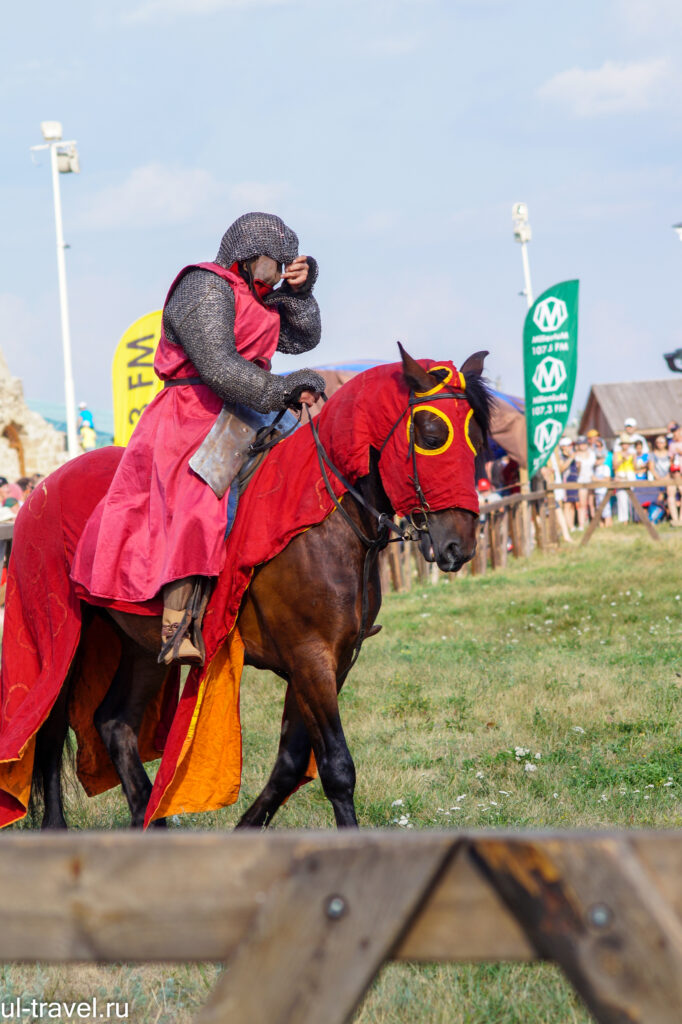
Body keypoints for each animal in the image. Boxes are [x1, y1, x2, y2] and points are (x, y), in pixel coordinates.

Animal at [31, 348, 489, 827]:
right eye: (432, 435)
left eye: (478, 438)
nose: (458, 545)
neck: (327, 519)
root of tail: (45, 486)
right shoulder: (310, 658)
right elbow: (337, 767)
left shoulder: (331, 661)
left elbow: (290, 763)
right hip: (62, 641)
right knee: (48, 734)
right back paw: (57, 826)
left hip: (141, 645)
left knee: (113, 722)